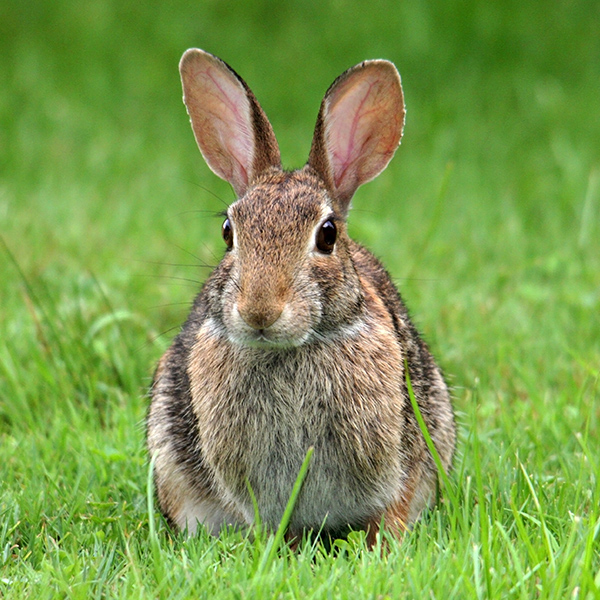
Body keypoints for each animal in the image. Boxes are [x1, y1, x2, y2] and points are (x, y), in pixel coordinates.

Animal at [148, 49, 458, 548]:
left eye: (327, 235)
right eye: (228, 232)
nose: (259, 311)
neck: (291, 351)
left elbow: (390, 510)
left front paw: (383, 550)